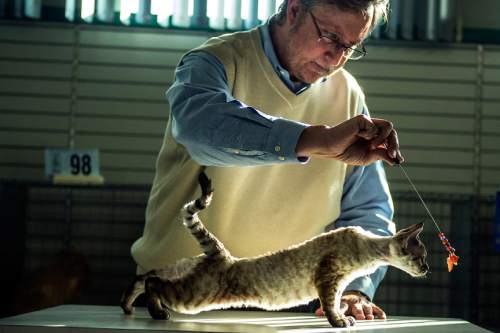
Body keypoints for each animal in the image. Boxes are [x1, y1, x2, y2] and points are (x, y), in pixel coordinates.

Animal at [122, 171, 430, 326]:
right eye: (422, 257)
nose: (427, 269)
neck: (365, 246)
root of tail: (221, 254)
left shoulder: (338, 283)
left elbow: (337, 301)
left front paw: (345, 314)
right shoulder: (327, 279)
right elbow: (330, 304)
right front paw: (340, 321)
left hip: (184, 269)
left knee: (144, 275)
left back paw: (127, 306)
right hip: (194, 296)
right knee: (153, 283)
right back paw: (157, 313)